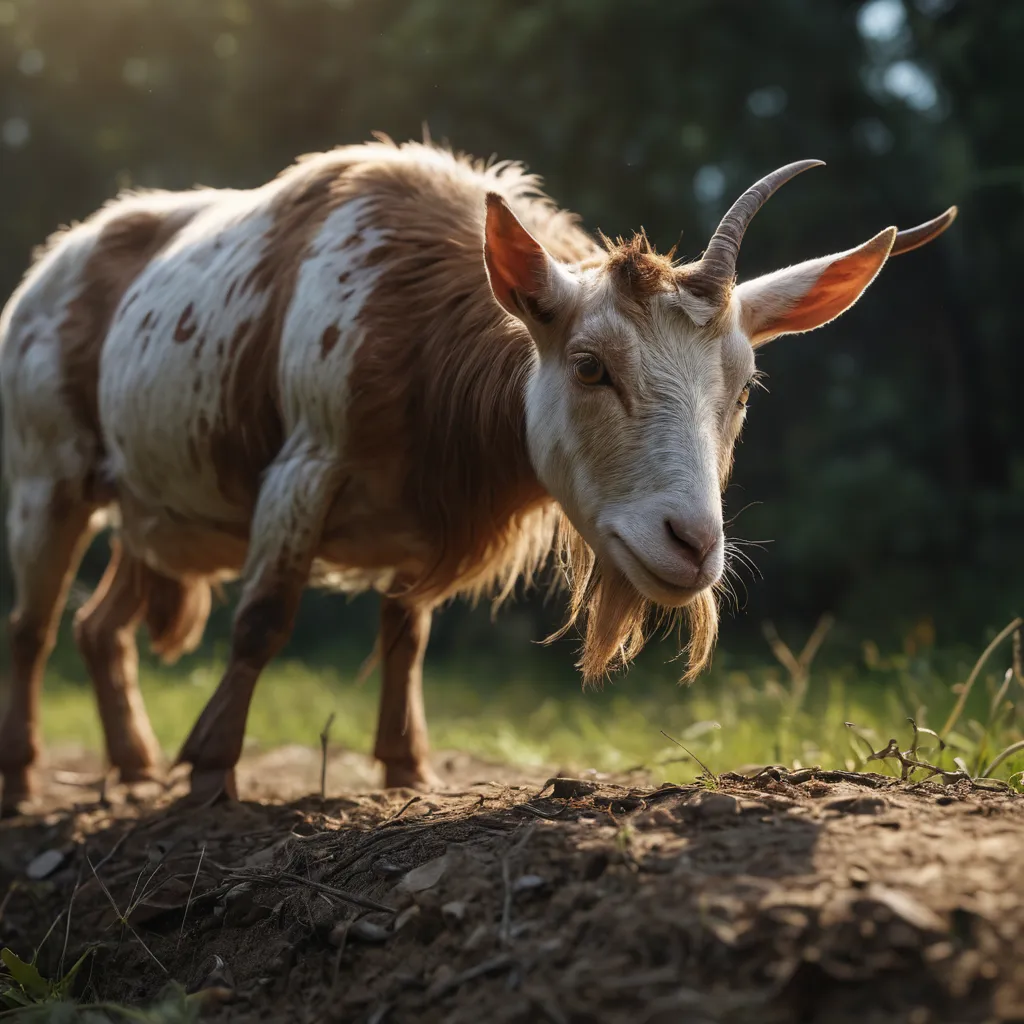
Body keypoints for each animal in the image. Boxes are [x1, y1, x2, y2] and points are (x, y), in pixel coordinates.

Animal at [0, 138, 955, 812]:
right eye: (589, 367)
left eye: (745, 386)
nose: (690, 544)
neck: (421, 331)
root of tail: (47, 269)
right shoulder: (305, 466)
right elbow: (263, 621)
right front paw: (210, 773)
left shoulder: (417, 525)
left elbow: (407, 630)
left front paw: (402, 767)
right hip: (49, 473)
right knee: (34, 626)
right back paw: (26, 777)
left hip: (152, 510)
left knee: (97, 624)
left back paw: (130, 766)